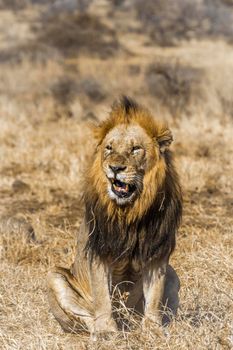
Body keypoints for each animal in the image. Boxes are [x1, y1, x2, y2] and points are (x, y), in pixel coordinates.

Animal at [47, 95, 182, 336]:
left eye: (136, 148)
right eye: (109, 148)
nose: (115, 168)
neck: (129, 212)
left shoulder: (157, 255)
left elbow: (153, 296)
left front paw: (152, 329)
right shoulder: (98, 251)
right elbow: (102, 296)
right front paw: (106, 331)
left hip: (173, 274)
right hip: (53, 275)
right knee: (84, 317)